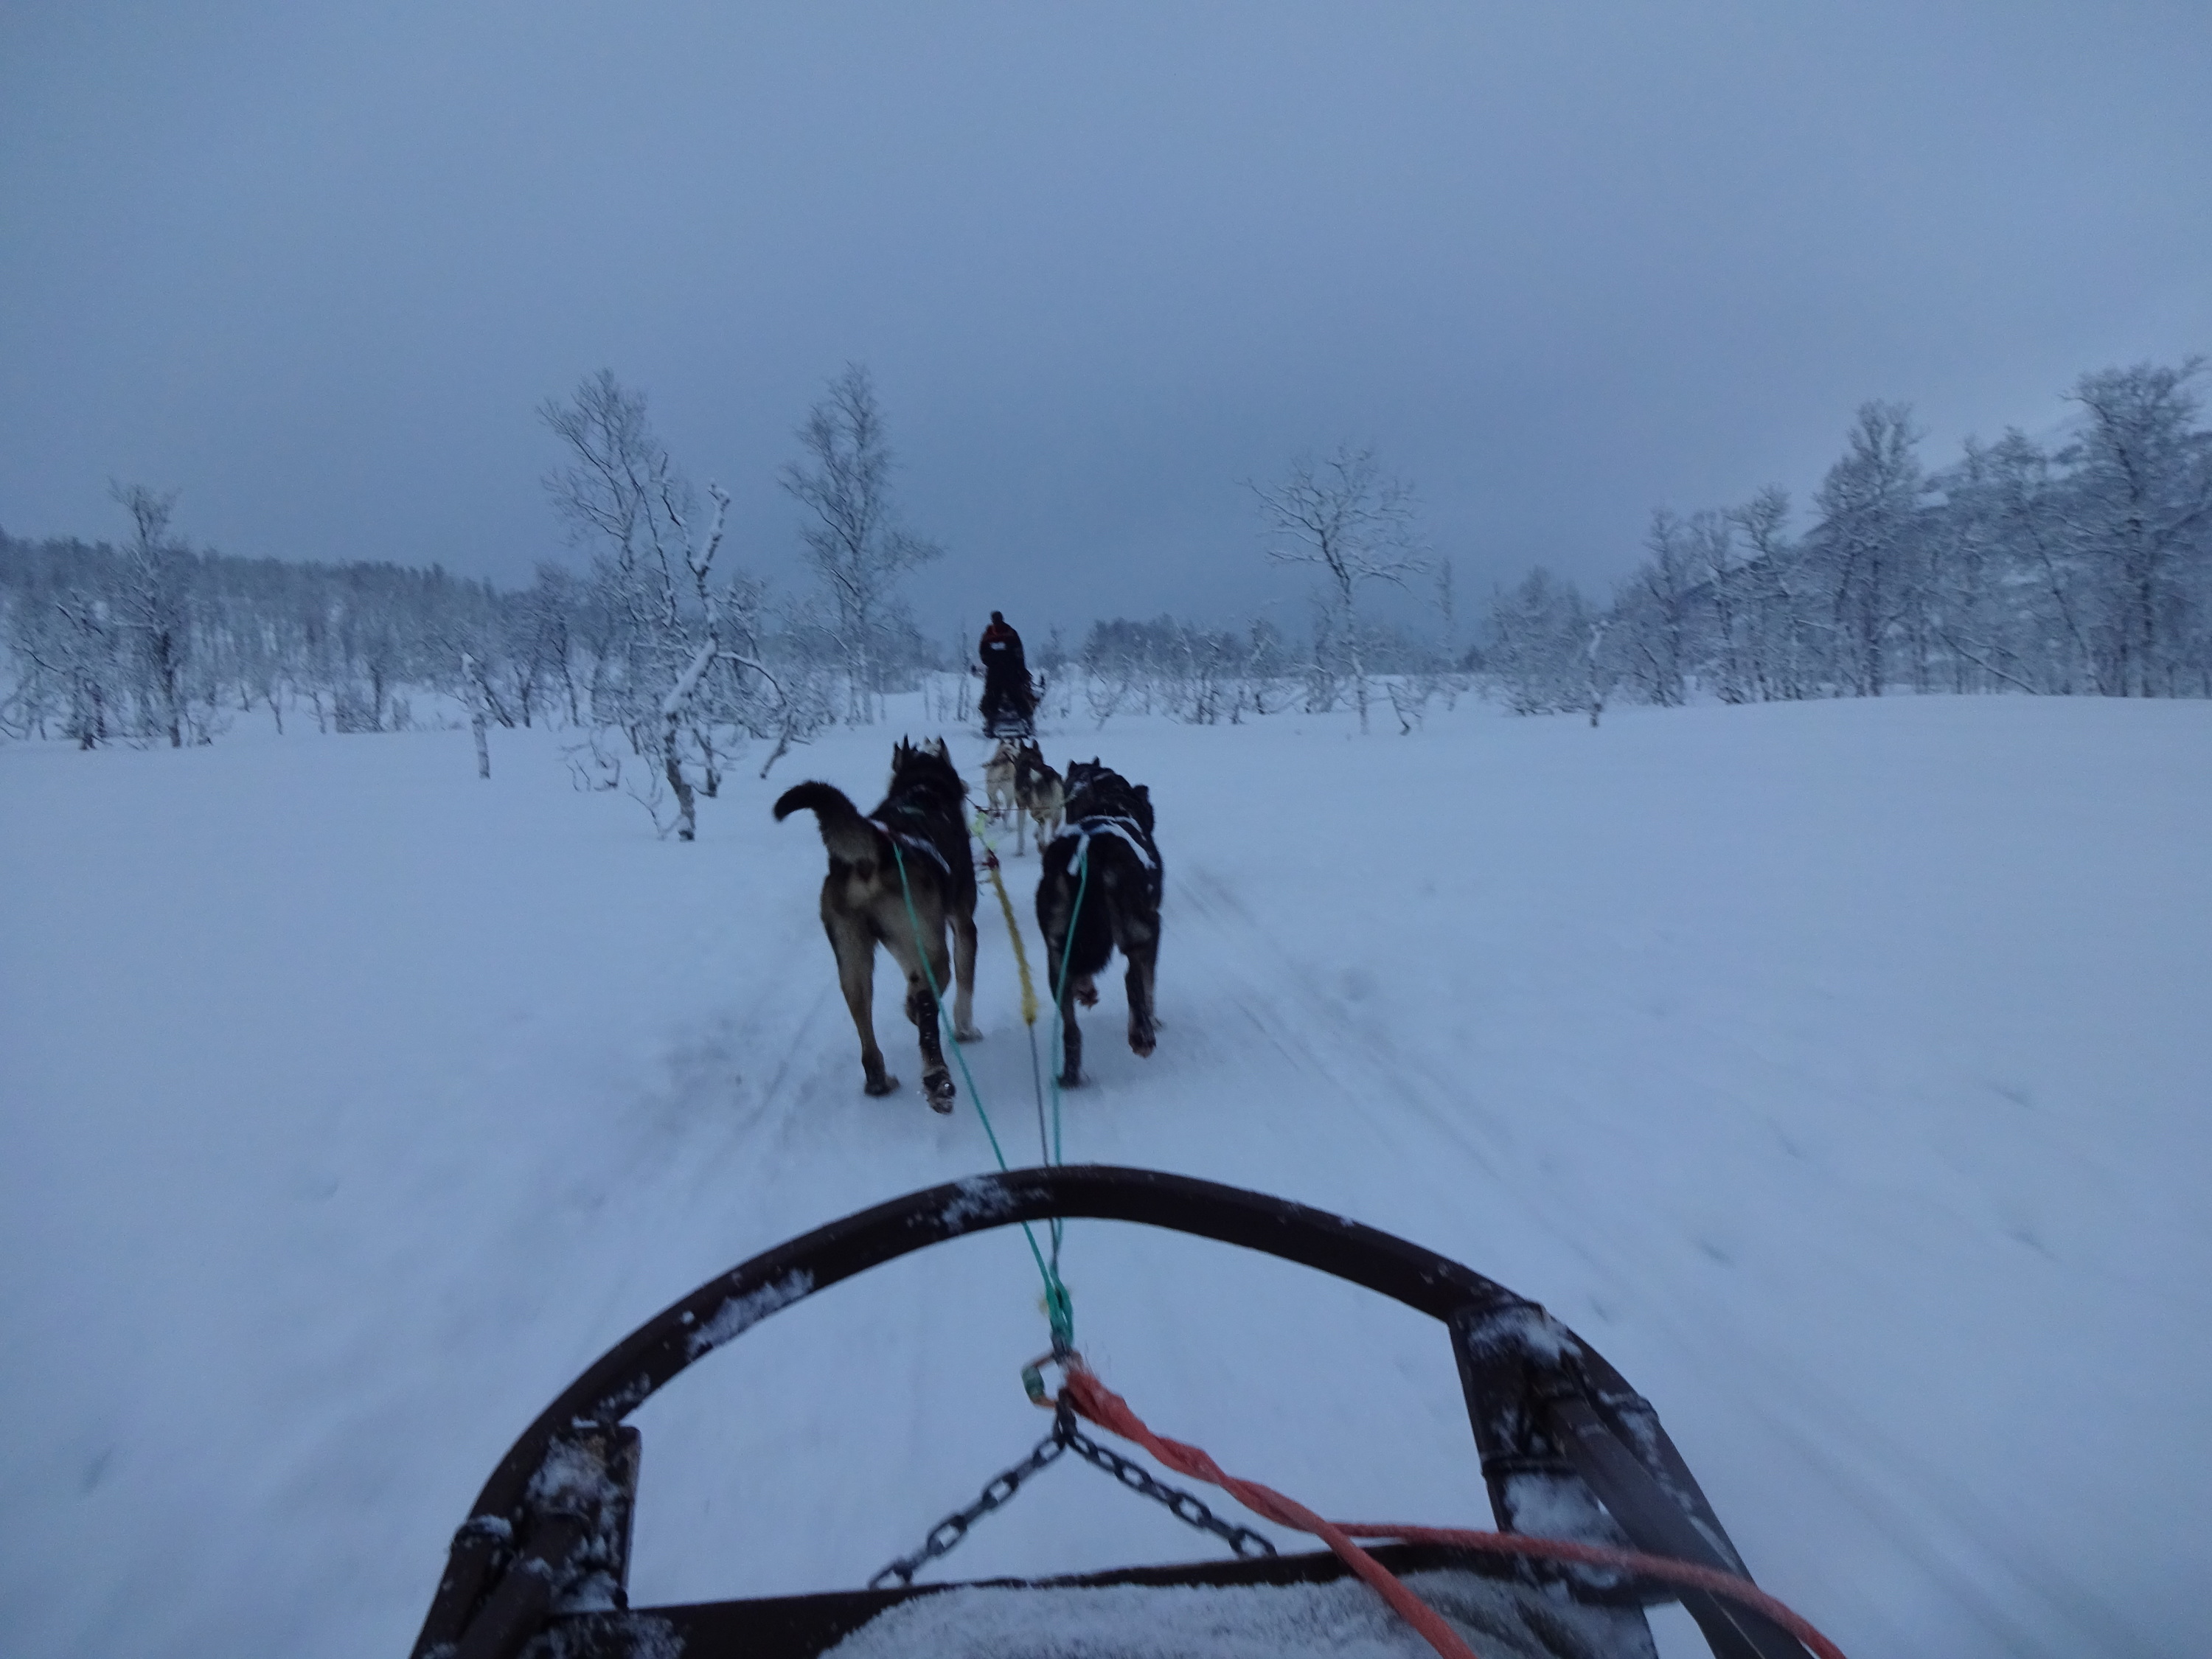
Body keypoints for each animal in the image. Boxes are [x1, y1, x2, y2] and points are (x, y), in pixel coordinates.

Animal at [783, 743, 982, 1119]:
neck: (921, 791)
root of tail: (875, 853)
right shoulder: (963, 926)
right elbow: (964, 984)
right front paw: (965, 1030)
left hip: (853, 959)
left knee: (866, 1020)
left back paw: (879, 1080)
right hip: (931, 952)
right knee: (929, 1003)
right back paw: (937, 1079)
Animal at [1035, 765, 1168, 1093]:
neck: (1108, 807)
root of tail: (1089, 853)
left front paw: (1087, 990)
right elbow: (1148, 985)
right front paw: (1153, 1020)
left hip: (1057, 956)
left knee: (1071, 1029)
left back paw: (1070, 1075)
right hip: (1143, 930)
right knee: (1133, 980)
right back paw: (1142, 1036)